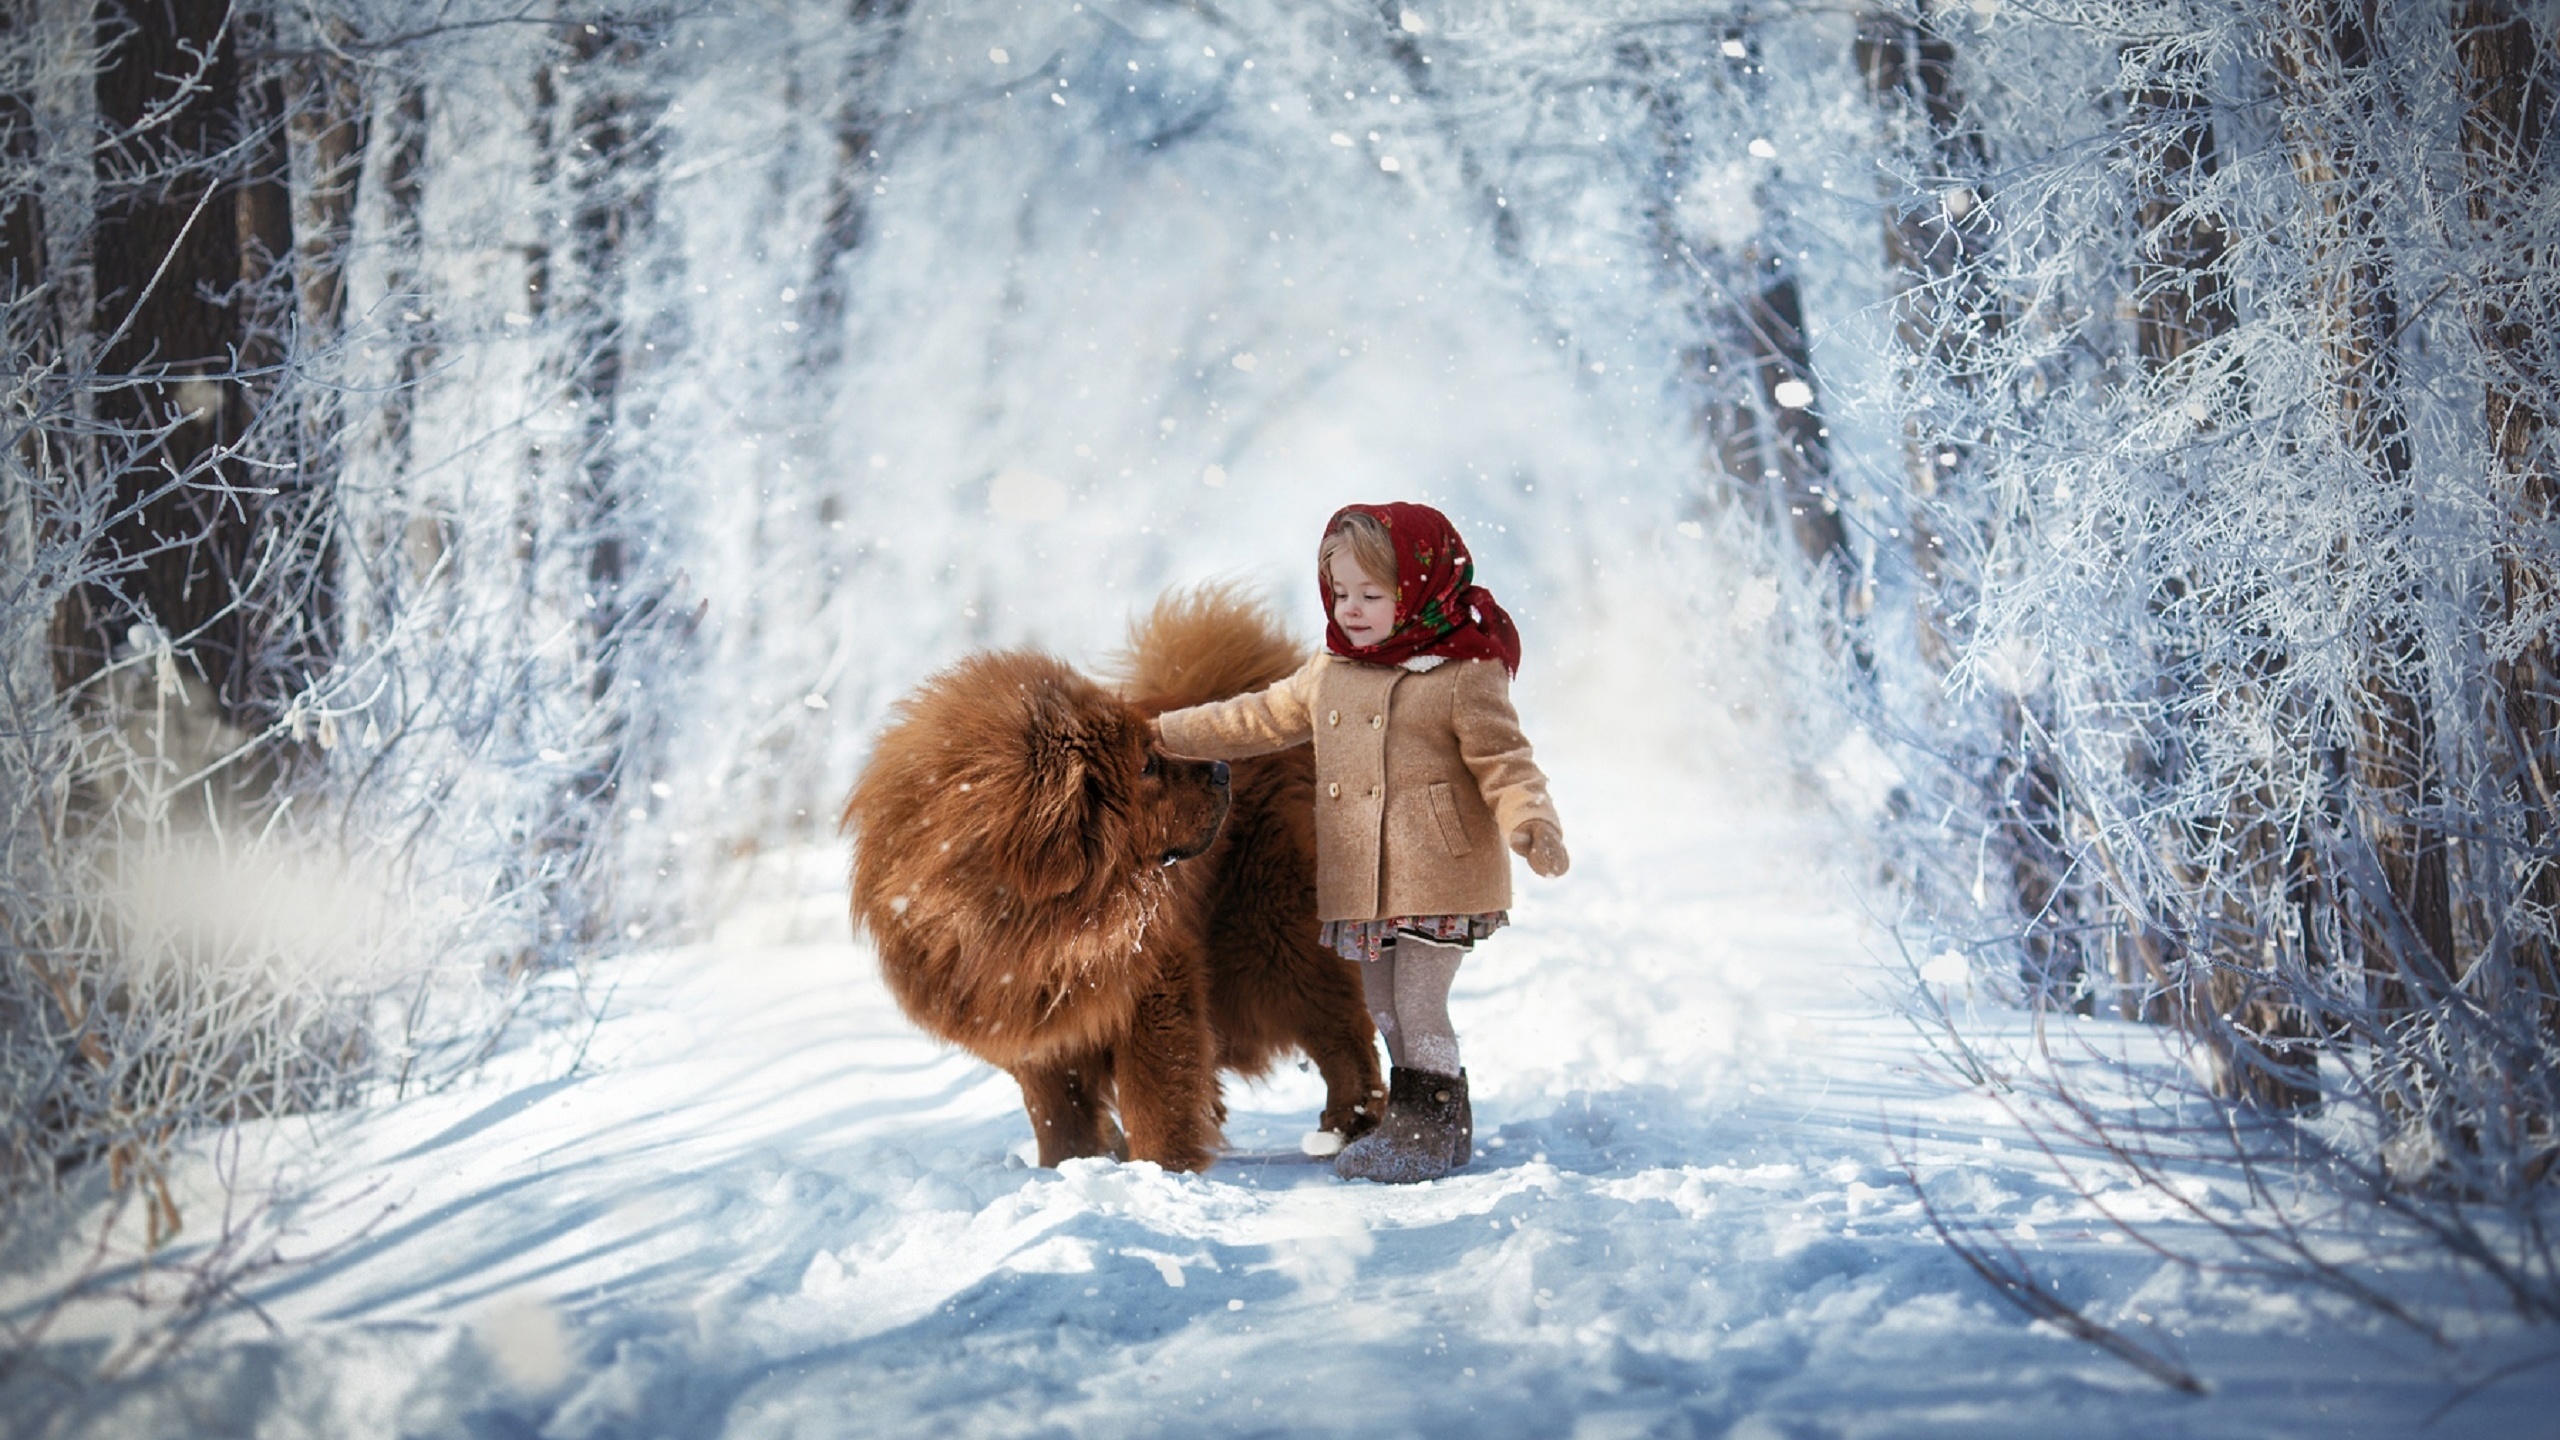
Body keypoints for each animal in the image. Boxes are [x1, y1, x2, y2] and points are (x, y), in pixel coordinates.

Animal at [844, 584, 1392, 1168]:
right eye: (1147, 765)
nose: (1222, 769)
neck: (1032, 919)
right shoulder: (1028, 1025)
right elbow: (1056, 1114)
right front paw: (1067, 1168)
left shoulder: (1152, 989)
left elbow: (1153, 1094)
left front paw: (1160, 1170)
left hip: (1269, 935)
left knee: (1338, 1029)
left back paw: (1347, 1126)